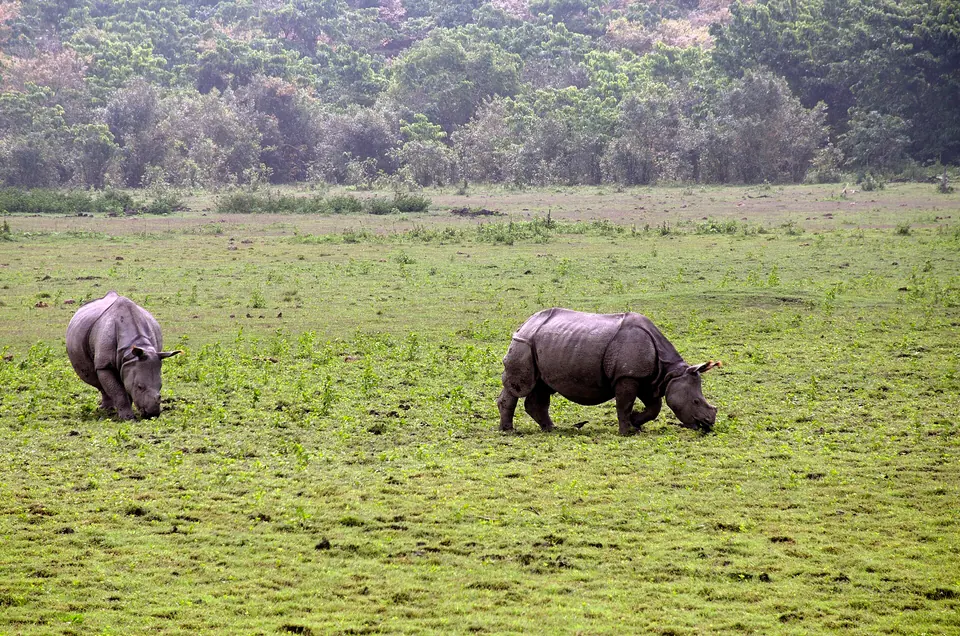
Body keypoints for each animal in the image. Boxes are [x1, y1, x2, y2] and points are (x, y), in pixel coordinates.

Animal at [497, 308, 720, 435]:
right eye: (695, 401)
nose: (709, 424)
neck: (670, 372)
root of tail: (525, 324)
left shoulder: (649, 379)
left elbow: (653, 408)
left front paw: (636, 424)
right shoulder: (627, 376)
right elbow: (624, 404)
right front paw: (626, 432)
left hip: (543, 345)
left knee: (542, 387)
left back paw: (551, 429)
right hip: (524, 343)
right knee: (520, 386)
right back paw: (508, 431)